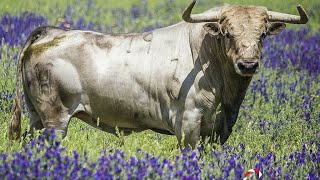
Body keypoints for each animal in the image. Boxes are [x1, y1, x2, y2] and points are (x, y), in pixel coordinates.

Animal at [8, 0, 308, 148]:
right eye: (227, 33)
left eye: (262, 34)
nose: (247, 64)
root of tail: (51, 32)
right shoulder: (188, 125)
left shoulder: (218, 131)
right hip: (55, 119)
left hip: (36, 116)